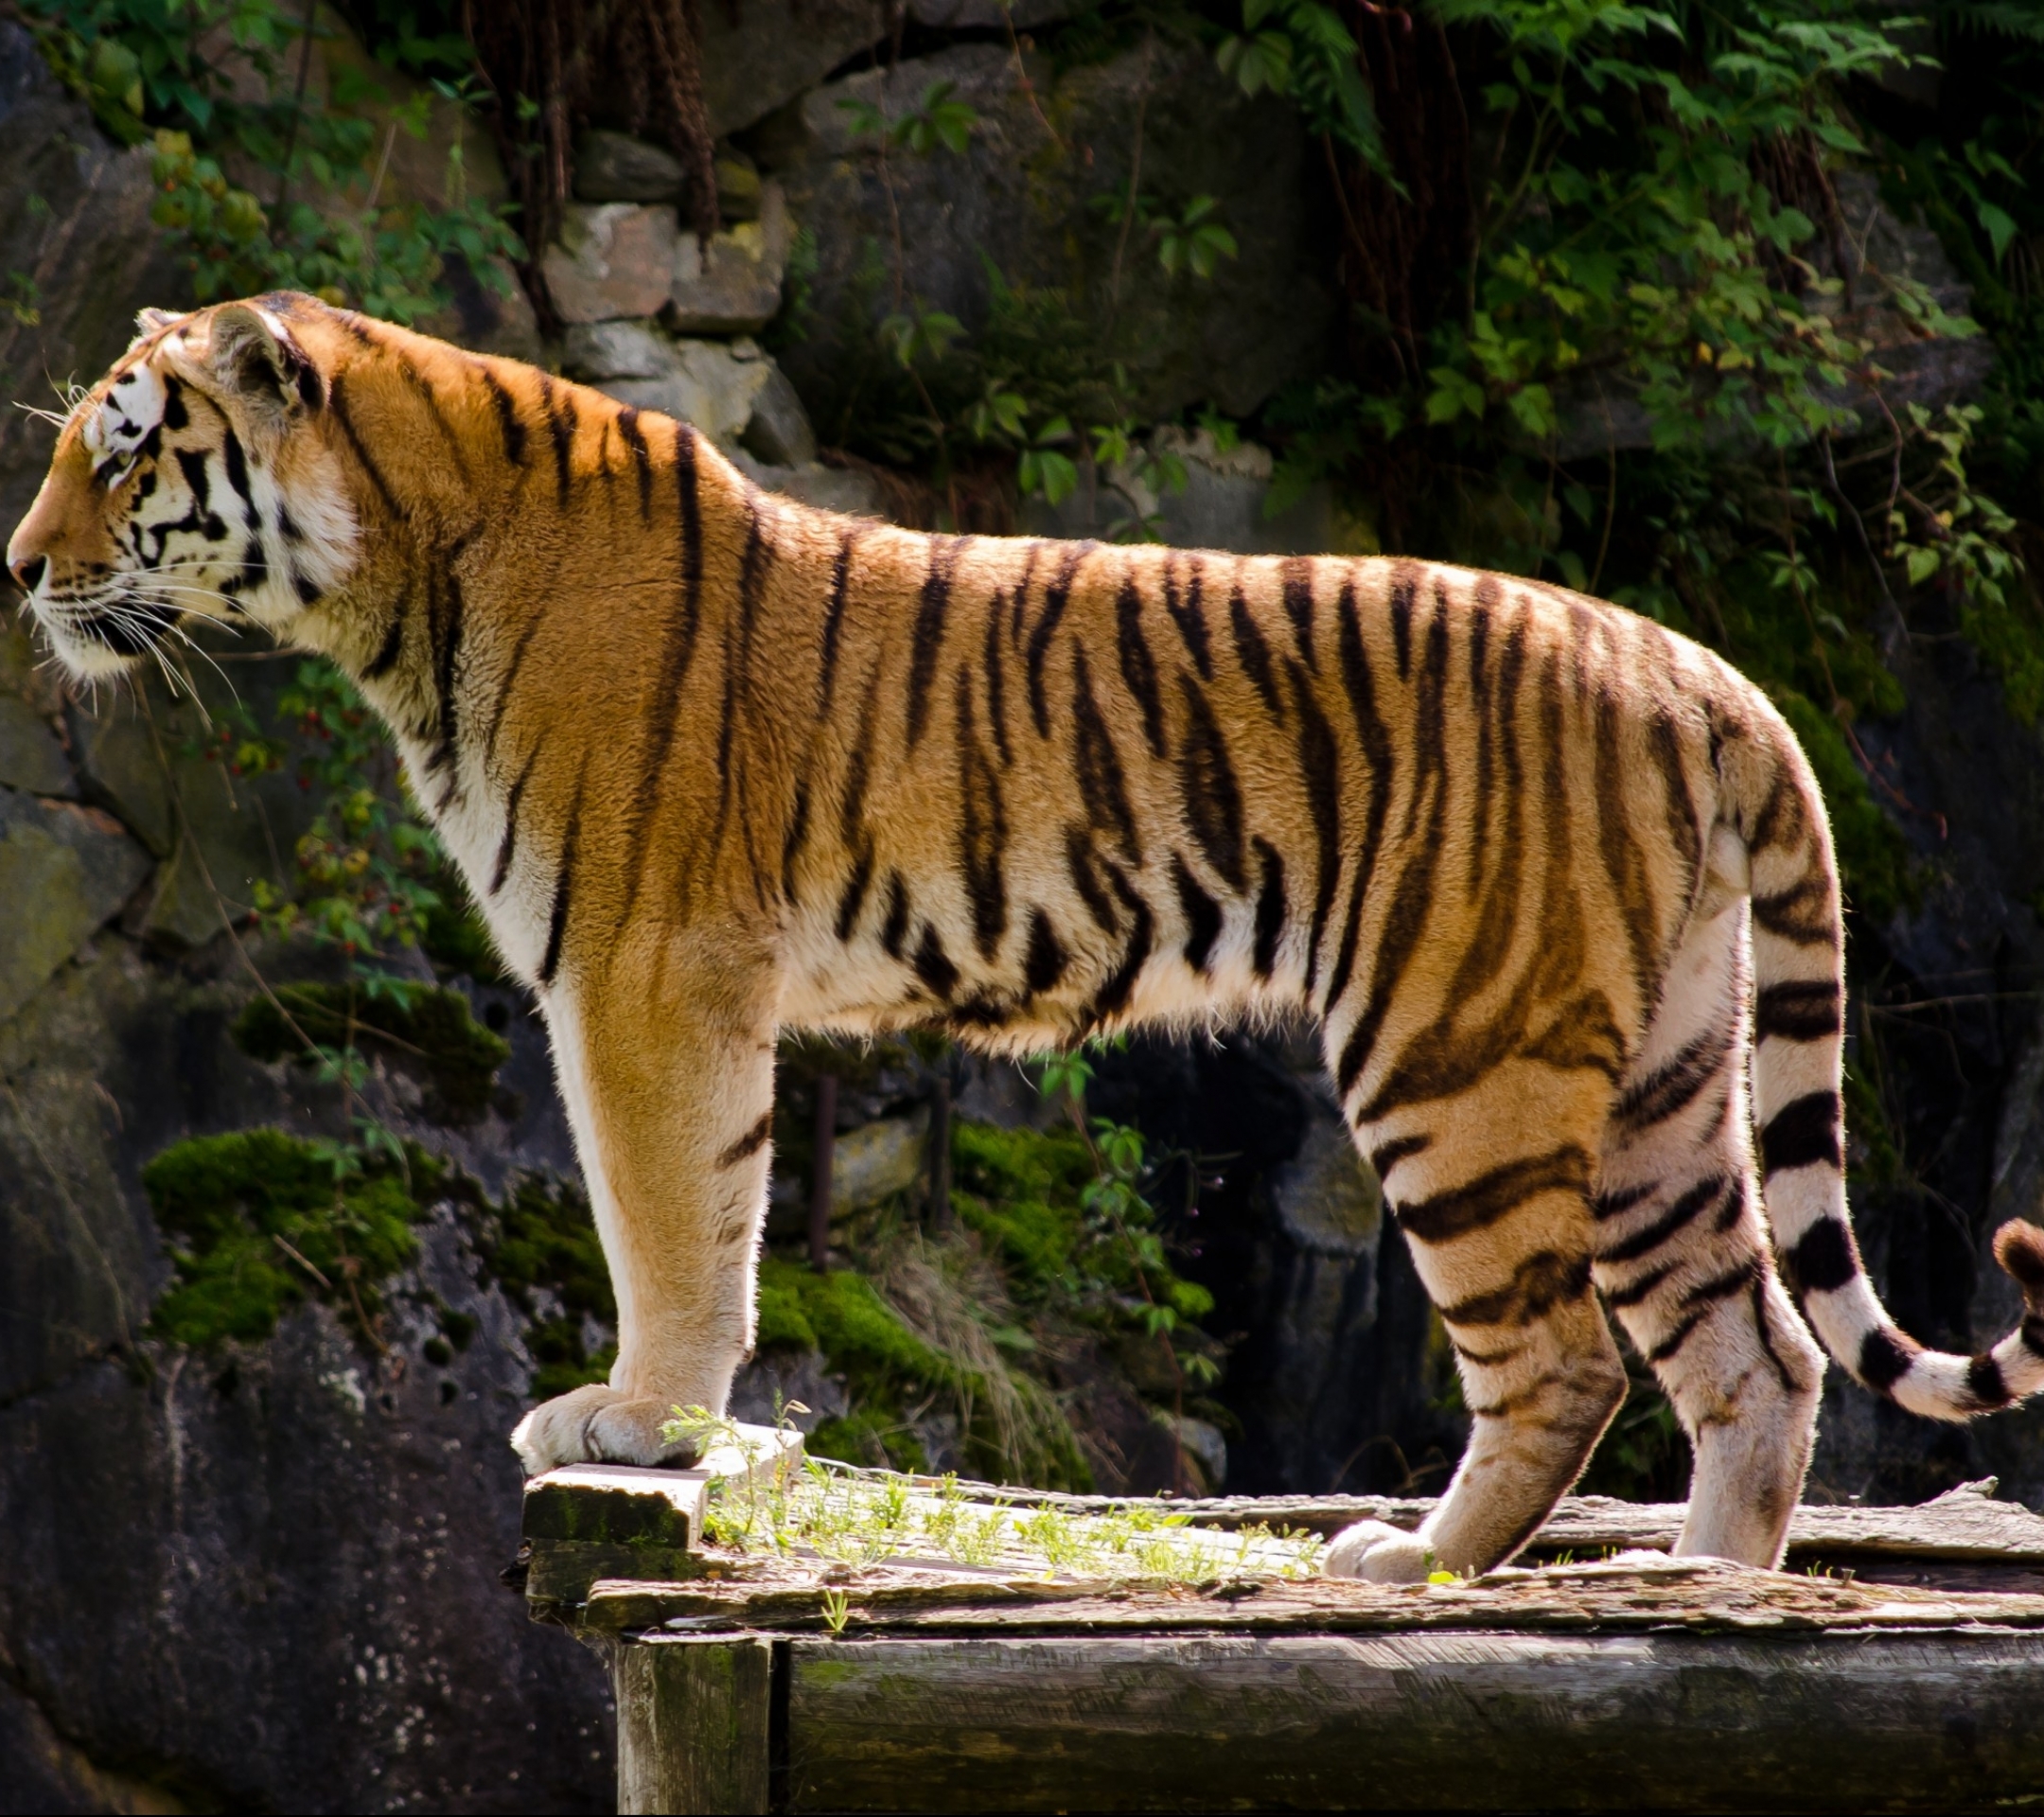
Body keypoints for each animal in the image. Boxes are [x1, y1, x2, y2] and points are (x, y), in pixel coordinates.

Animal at [15, 290, 2044, 1578]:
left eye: (123, 459)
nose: (19, 569)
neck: (398, 582)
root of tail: (1704, 672)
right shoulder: (670, 980)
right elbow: (715, 1216)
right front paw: (665, 1419)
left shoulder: (646, 971)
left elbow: (673, 1224)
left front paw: (637, 1422)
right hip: (1662, 1081)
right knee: (1759, 1354)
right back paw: (1694, 1589)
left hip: (1460, 1052)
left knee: (1567, 1363)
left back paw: (1405, 1568)